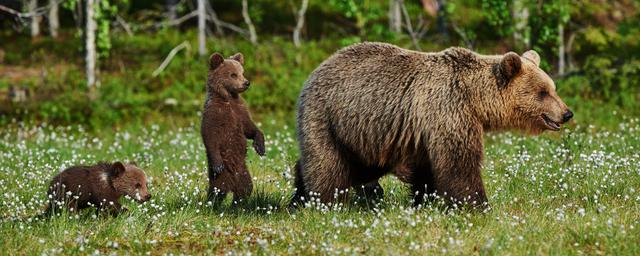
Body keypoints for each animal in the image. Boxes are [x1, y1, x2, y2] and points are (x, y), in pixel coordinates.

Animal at [292, 42, 572, 208]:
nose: (566, 113)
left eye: (553, 88)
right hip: (328, 118)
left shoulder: (422, 129)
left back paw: (299, 194)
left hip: (362, 135)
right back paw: (323, 202)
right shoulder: (448, 108)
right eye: (543, 92)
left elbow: (426, 169)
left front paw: (425, 200)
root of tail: (316, 69)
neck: (475, 98)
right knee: (328, 165)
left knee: (359, 167)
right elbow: (459, 163)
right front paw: (478, 205)